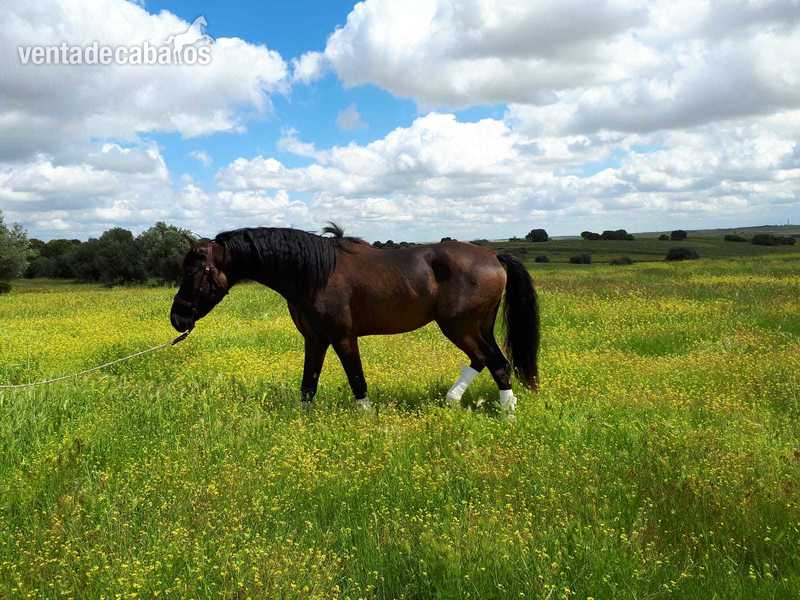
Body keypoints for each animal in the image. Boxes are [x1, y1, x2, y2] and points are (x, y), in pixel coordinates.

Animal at [170, 224, 540, 416]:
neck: (314, 273)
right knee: (485, 359)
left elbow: (357, 380)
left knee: (497, 364)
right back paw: (453, 401)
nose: (177, 318)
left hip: (459, 327)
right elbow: (308, 385)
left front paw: (366, 418)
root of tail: (493, 255)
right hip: (476, 327)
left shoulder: (343, 338)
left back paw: (507, 415)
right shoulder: (315, 339)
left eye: (195, 271)